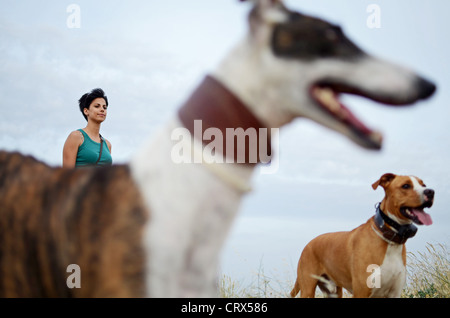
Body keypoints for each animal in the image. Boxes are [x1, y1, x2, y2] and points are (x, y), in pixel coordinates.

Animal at [290, 173, 434, 296]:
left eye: (424, 185)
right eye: (406, 186)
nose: (430, 191)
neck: (389, 240)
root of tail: (309, 243)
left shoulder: (394, 292)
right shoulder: (362, 291)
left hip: (333, 291)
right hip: (308, 289)